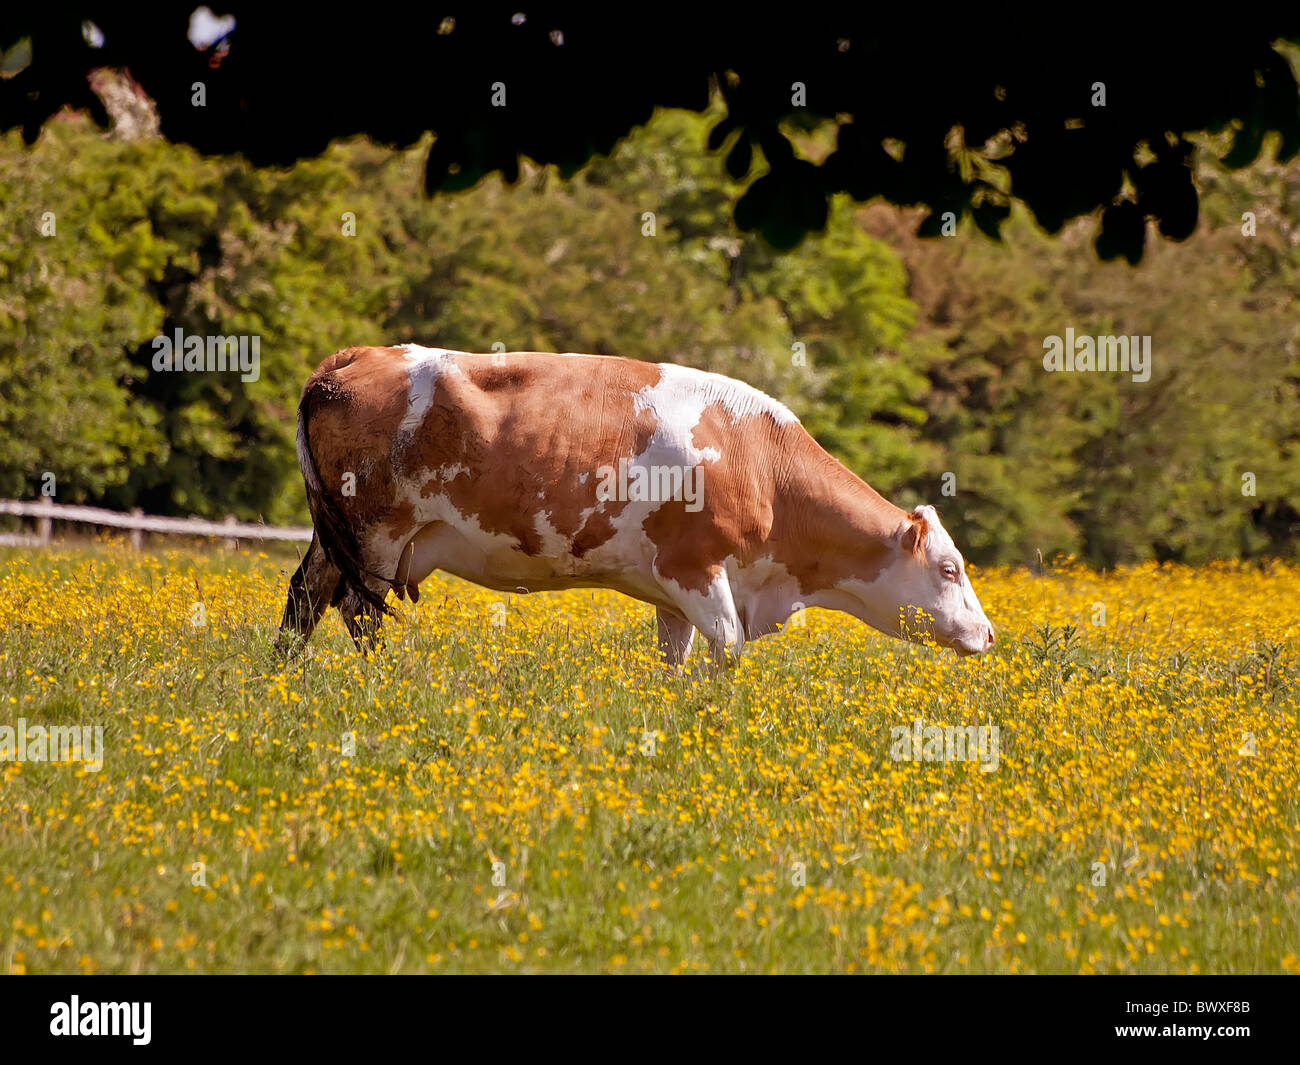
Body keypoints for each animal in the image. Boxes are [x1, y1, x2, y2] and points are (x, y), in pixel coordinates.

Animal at [276, 345, 993, 665]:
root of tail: (361, 355)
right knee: (357, 612)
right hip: (375, 535)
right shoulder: (696, 568)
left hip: (338, 539)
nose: (988, 633)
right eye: (950, 568)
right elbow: (728, 648)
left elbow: (676, 660)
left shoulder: (672, 595)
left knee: (305, 598)